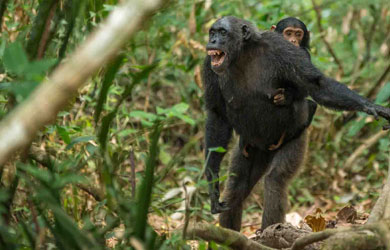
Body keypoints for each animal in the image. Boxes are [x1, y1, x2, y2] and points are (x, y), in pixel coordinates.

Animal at [204, 16, 390, 232]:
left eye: (223, 33)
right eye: (213, 32)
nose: (213, 41)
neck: (241, 54)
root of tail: (266, 148)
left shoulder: (283, 50)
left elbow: (316, 84)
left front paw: (370, 106)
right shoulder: (209, 65)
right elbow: (217, 115)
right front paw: (212, 184)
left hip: (294, 138)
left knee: (275, 180)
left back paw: (270, 232)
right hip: (249, 149)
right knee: (237, 186)